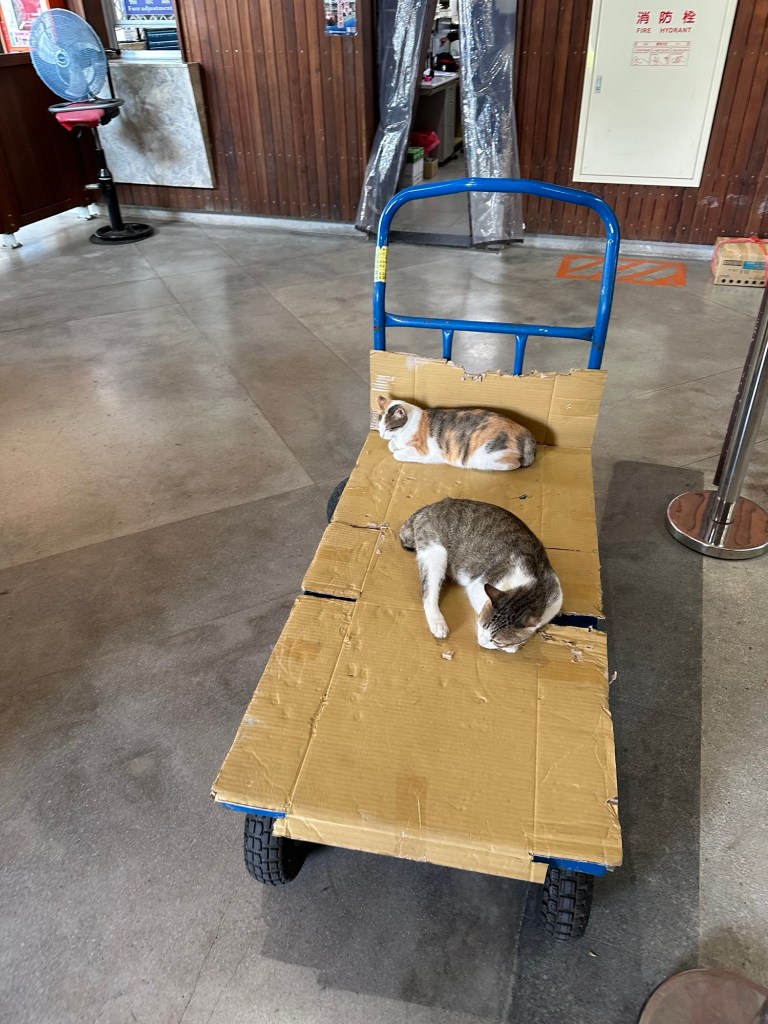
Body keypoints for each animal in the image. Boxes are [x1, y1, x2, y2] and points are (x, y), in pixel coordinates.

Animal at [377, 396, 536, 471]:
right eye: (379, 425)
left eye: (389, 428)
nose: (381, 435)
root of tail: (523, 429)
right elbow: (391, 445)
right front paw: (393, 445)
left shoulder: (423, 451)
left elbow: (396, 454)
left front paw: (396, 449)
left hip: (486, 454)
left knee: (514, 464)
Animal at [400, 498, 562, 653]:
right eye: (483, 625)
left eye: (497, 640)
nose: (481, 642)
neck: (534, 585)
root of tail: (429, 507)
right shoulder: (477, 587)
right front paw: (512, 647)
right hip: (435, 552)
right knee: (428, 593)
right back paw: (438, 622)